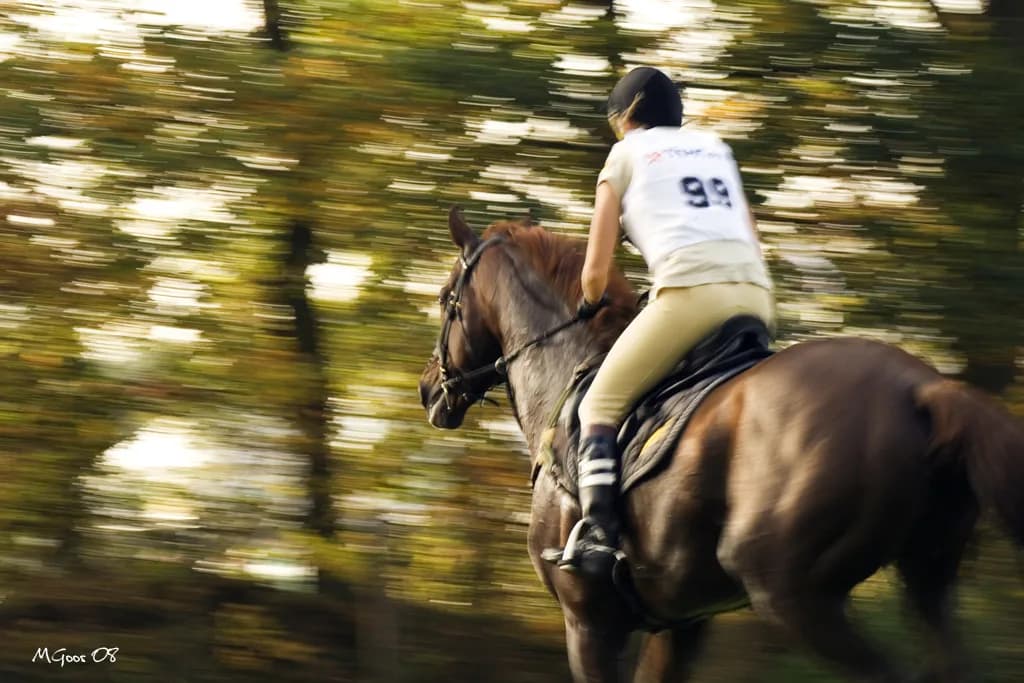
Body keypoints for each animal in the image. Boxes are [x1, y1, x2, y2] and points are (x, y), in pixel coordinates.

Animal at [417, 207, 1024, 683]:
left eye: (446, 299)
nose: (428, 389)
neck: (565, 365)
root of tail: (922, 386)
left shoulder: (588, 620)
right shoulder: (680, 621)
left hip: (793, 592)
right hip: (927, 577)